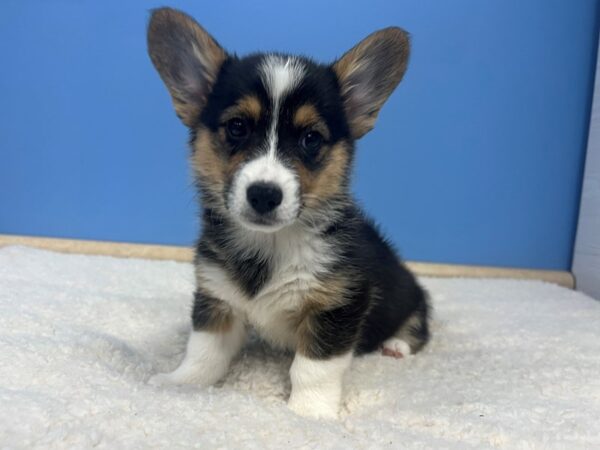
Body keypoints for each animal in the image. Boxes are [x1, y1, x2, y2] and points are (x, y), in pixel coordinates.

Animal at [147, 7, 428, 420]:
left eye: (311, 139)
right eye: (237, 127)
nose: (264, 195)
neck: (271, 244)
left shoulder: (337, 306)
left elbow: (313, 368)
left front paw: (309, 413)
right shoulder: (217, 298)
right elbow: (203, 351)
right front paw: (181, 383)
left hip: (410, 291)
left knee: (419, 325)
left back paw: (396, 345)